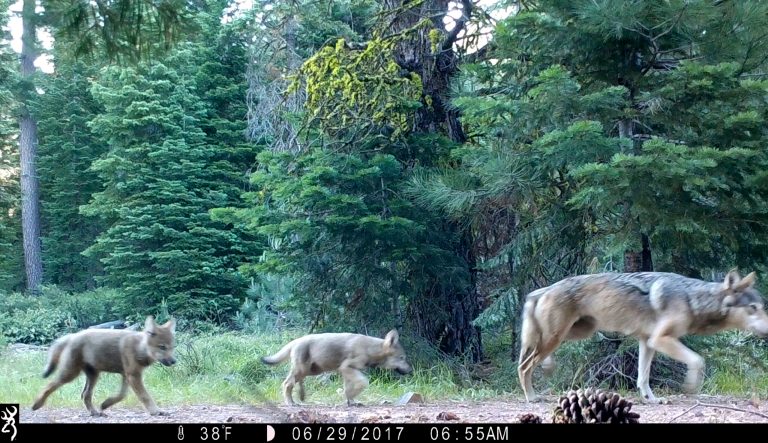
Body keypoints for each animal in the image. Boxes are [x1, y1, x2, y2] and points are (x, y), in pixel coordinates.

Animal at [31, 316, 177, 416]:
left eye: (172, 347)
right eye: (162, 347)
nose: (174, 361)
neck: (138, 348)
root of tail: (72, 336)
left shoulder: (127, 376)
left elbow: (121, 395)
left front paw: (105, 404)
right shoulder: (133, 376)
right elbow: (145, 396)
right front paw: (156, 411)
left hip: (94, 375)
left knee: (85, 395)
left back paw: (95, 413)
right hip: (70, 374)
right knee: (49, 385)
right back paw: (36, 404)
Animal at [262, 330, 413, 406]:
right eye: (402, 358)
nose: (411, 370)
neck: (370, 349)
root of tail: (295, 341)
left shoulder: (347, 372)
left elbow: (348, 388)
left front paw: (351, 401)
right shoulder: (346, 367)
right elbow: (363, 382)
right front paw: (350, 398)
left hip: (310, 371)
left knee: (294, 383)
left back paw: (300, 398)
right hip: (303, 370)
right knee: (286, 384)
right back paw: (291, 403)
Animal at [517, 270, 768, 404]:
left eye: (763, 307)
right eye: (753, 308)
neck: (693, 299)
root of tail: (543, 290)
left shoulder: (647, 342)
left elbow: (643, 377)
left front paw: (653, 400)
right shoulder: (660, 339)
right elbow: (698, 360)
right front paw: (690, 386)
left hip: (575, 333)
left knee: (534, 358)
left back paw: (547, 368)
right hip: (557, 337)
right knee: (524, 366)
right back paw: (531, 396)